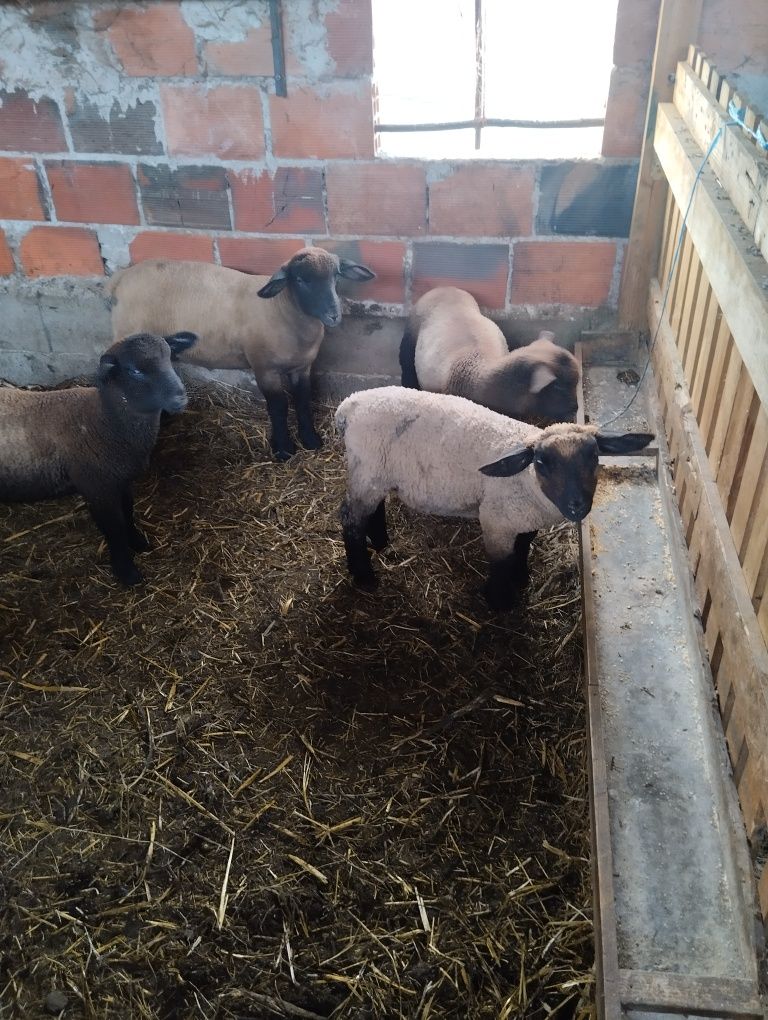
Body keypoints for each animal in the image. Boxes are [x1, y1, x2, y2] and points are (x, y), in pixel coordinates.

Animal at [0, 330, 197, 587]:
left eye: (170, 356)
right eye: (135, 371)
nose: (180, 398)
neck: (103, 421)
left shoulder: (120, 480)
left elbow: (128, 512)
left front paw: (138, 542)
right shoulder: (97, 487)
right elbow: (114, 528)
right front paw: (127, 572)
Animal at [107, 247, 375, 463]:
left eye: (336, 276)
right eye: (300, 279)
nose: (334, 315)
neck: (282, 308)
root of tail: (121, 278)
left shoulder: (302, 367)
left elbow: (302, 399)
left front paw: (310, 439)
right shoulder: (264, 367)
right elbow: (278, 406)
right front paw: (284, 449)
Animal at [334, 387, 652, 612]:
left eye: (594, 456)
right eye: (541, 462)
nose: (577, 505)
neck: (526, 480)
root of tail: (349, 404)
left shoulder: (522, 518)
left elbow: (524, 546)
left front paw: (521, 577)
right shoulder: (497, 521)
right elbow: (500, 563)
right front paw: (501, 601)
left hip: (376, 474)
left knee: (374, 509)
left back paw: (381, 543)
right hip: (368, 470)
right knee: (351, 519)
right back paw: (364, 576)